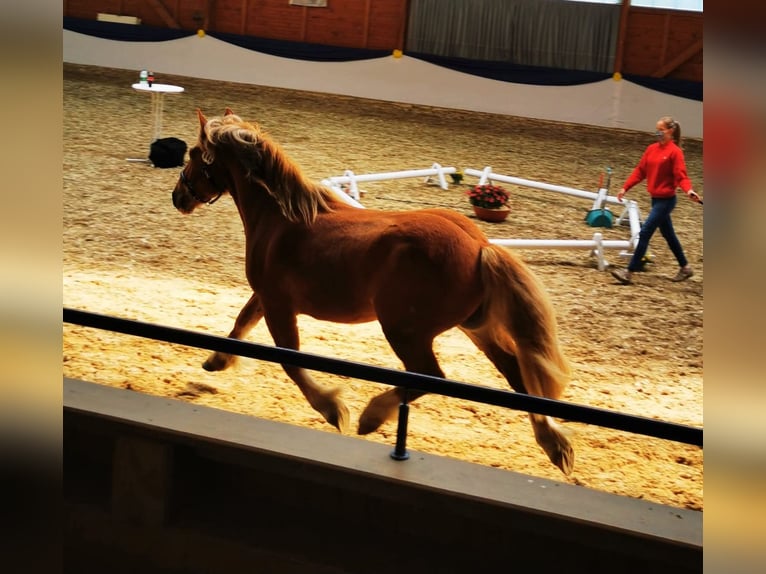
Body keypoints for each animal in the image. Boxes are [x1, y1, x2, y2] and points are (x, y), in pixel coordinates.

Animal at [171, 108, 575, 475]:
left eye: (194, 153)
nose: (178, 196)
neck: (281, 219)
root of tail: (480, 245)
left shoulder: (278, 305)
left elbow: (290, 360)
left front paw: (334, 409)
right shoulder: (265, 297)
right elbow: (241, 323)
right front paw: (216, 361)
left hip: (405, 331)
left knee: (430, 376)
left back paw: (372, 417)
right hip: (478, 328)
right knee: (516, 374)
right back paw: (555, 445)